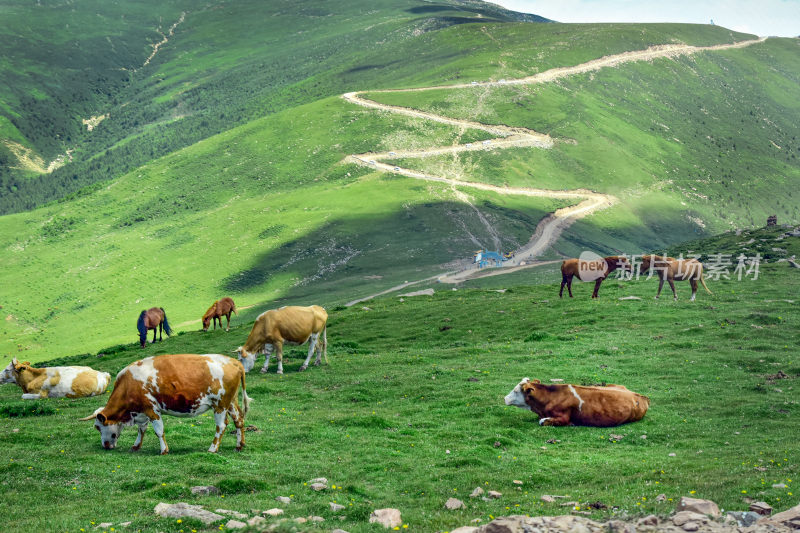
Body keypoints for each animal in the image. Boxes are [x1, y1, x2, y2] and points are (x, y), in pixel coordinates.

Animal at [78, 354, 248, 454]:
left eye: (98, 427)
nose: (105, 445)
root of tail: (233, 361)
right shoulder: (142, 412)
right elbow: (142, 430)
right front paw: (136, 446)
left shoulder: (151, 409)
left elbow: (158, 431)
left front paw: (163, 450)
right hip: (231, 402)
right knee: (239, 420)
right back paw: (239, 445)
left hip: (220, 404)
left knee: (221, 426)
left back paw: (212, 448)